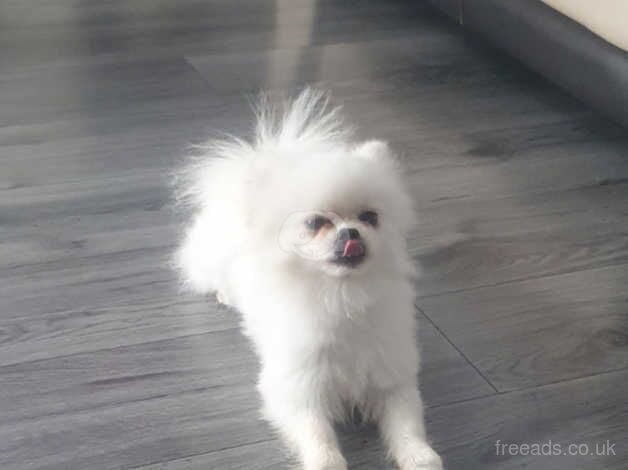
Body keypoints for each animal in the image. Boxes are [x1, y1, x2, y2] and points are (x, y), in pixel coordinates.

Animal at [174, 89, 444, 470]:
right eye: (316, 223)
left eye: (370, 217)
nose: (351, 232)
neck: (343, 295)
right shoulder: (297, 389)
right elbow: (318, 435)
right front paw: (326, 462)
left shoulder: (391, 377)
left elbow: (407, 425)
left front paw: (420, 457)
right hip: (211, 258)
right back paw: (225, 294)